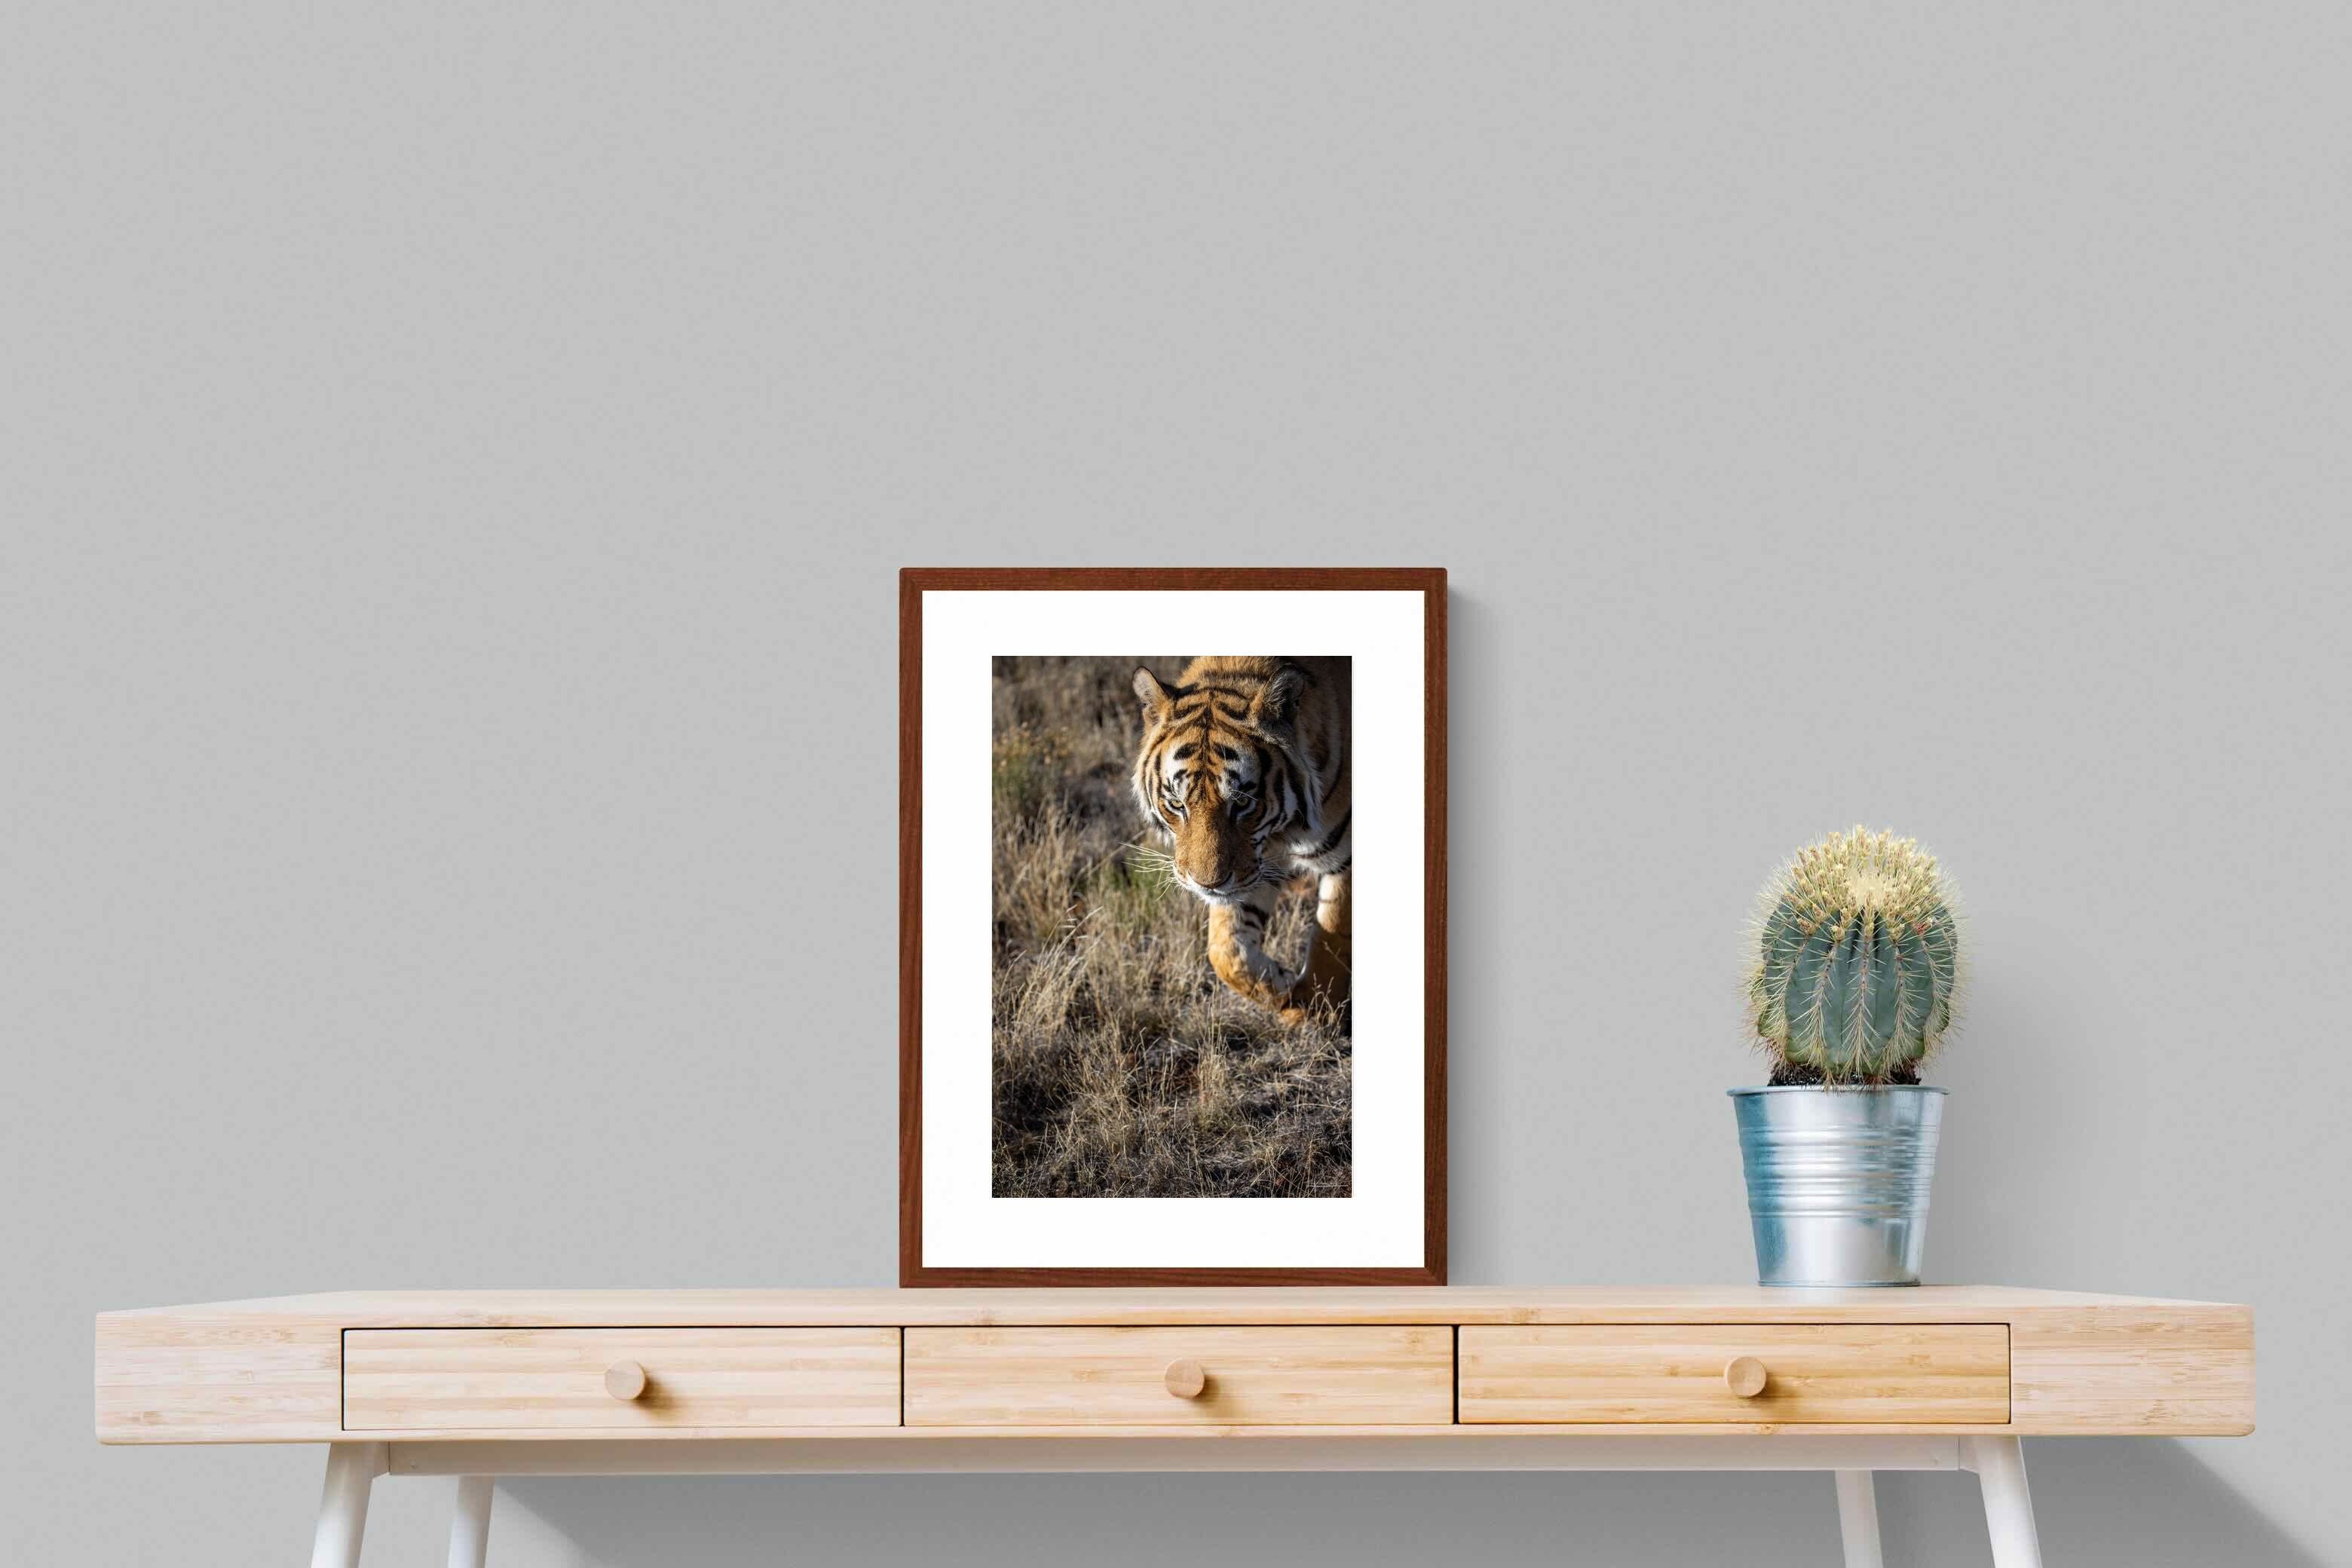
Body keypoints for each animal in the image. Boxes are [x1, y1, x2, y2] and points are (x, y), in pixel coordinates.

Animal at [1129, 656, 1351, 1025]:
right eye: (1177, 803)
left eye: (1242, 802)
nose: (1206, 884)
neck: (1282, 833)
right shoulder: (1255, 867)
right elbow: (1226, 951)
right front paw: (1284, 989)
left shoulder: (1346, 859)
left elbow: (1331, 936)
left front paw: (1317, 1010)